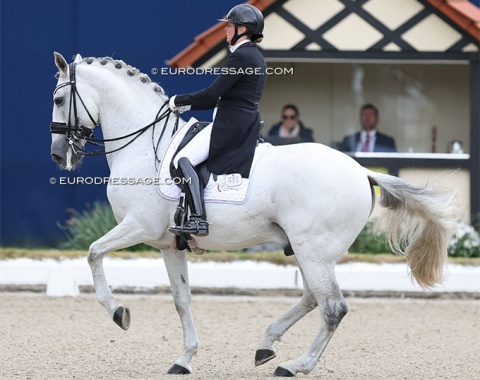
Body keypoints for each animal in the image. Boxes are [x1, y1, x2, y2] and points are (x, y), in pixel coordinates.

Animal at [49, 53, 458, 378]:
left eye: (57, 98)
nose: (58, 155)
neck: (145, 146)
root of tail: (362, 171)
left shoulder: (138, 226)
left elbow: (93, 253)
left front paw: (119, 312)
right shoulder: (169, 244)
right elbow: (182, 299)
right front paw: (185, 359)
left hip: (313, 250)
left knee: (332, 307)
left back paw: (295, 365)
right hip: (310, 251)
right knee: (312, 298)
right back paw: (267, 344)